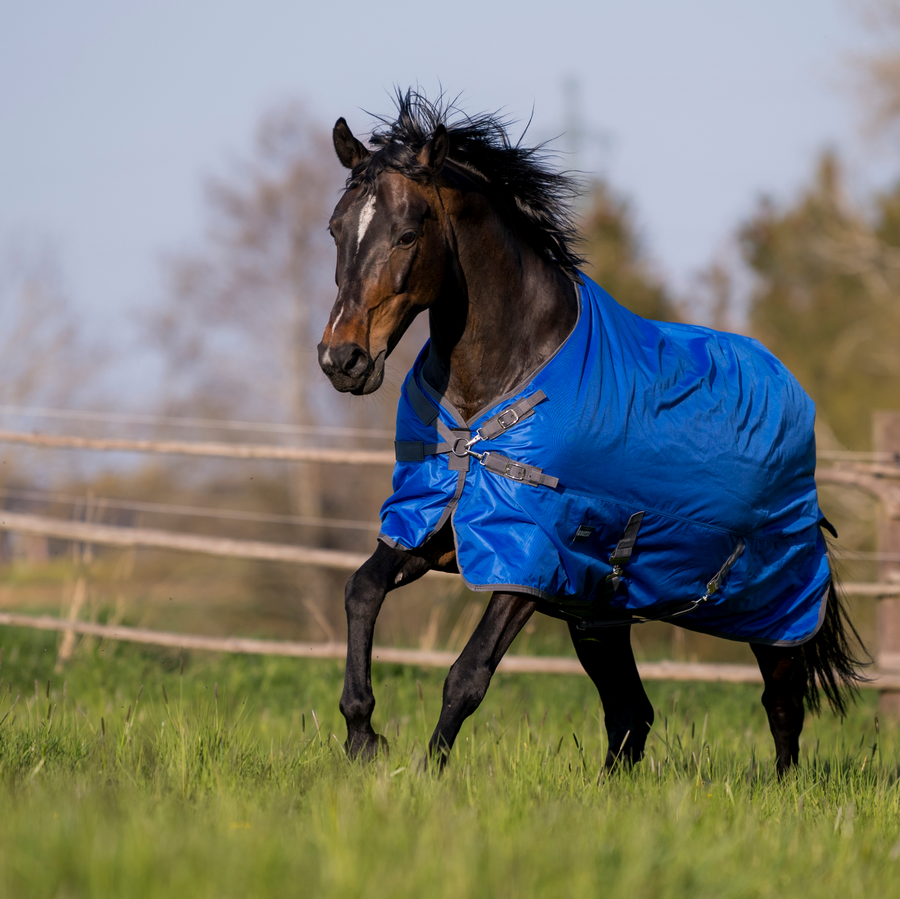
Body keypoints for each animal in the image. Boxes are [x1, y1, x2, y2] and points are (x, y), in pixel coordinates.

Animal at [316, 93, 864, 780]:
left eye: (408, 234)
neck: (485, 412)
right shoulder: (431, 525)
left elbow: (467, 675)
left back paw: (781, 789)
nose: (342, 360)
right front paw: (363, 736)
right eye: (336, 229)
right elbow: (360, 590)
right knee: (632, 713)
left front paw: (427, 773)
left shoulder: (529, 557)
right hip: (599, 614)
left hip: (774, 605)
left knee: (782, 702)